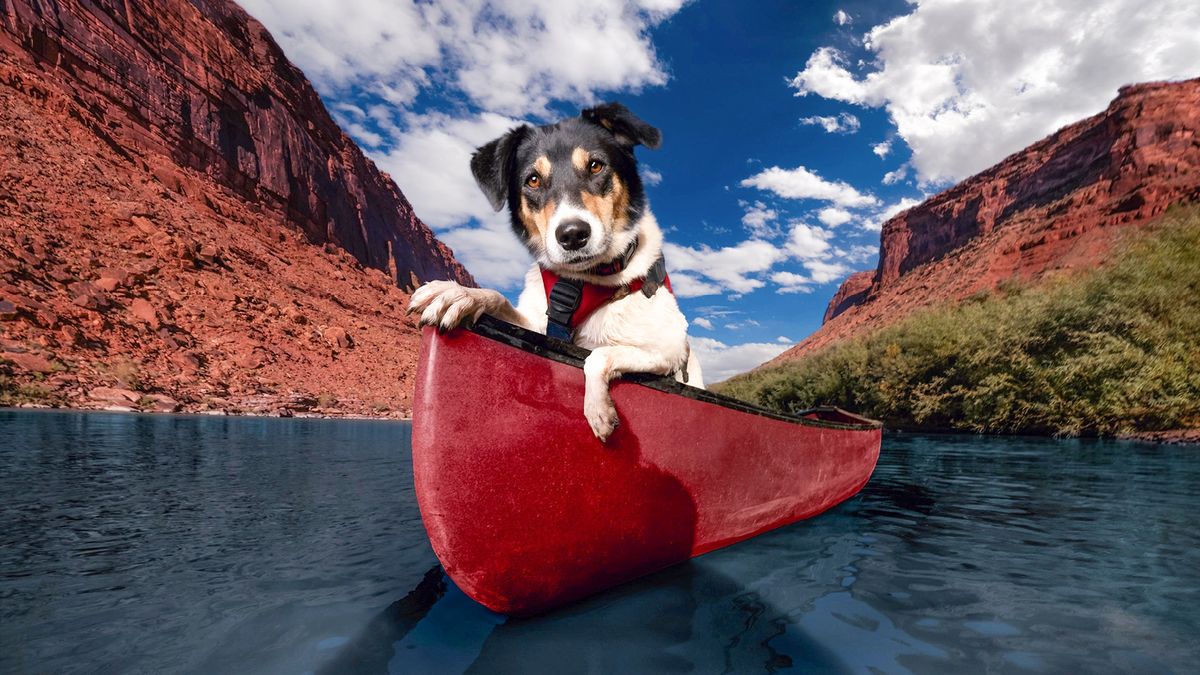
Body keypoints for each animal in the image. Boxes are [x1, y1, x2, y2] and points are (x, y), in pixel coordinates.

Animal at [408, 102, 700, 439]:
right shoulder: (536, 324)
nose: (572, 235)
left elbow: (598, 355)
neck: (585, 279)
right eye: (533, 180)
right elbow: (499, 299)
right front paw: (460, 294)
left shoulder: (668, 349)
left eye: (596, 166)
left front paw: (597, 408)